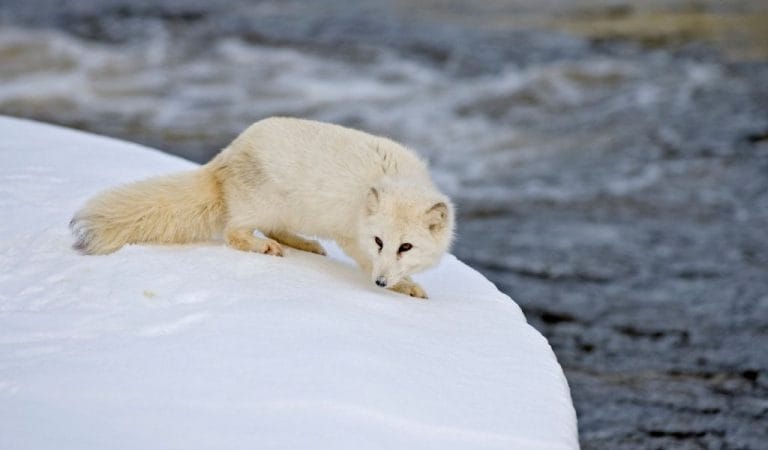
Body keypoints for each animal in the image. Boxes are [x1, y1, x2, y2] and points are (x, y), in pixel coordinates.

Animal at [70, 118, 452, 298]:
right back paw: (264, 247)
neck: (396, 177)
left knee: (273, 229)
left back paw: (305, 244)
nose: (380, 283)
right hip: (263, 204)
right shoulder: (353, 237)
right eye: (379, 242)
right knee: (234, 233)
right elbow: (365, 259)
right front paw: (406, 287)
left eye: (406, 246)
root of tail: (226, 155)